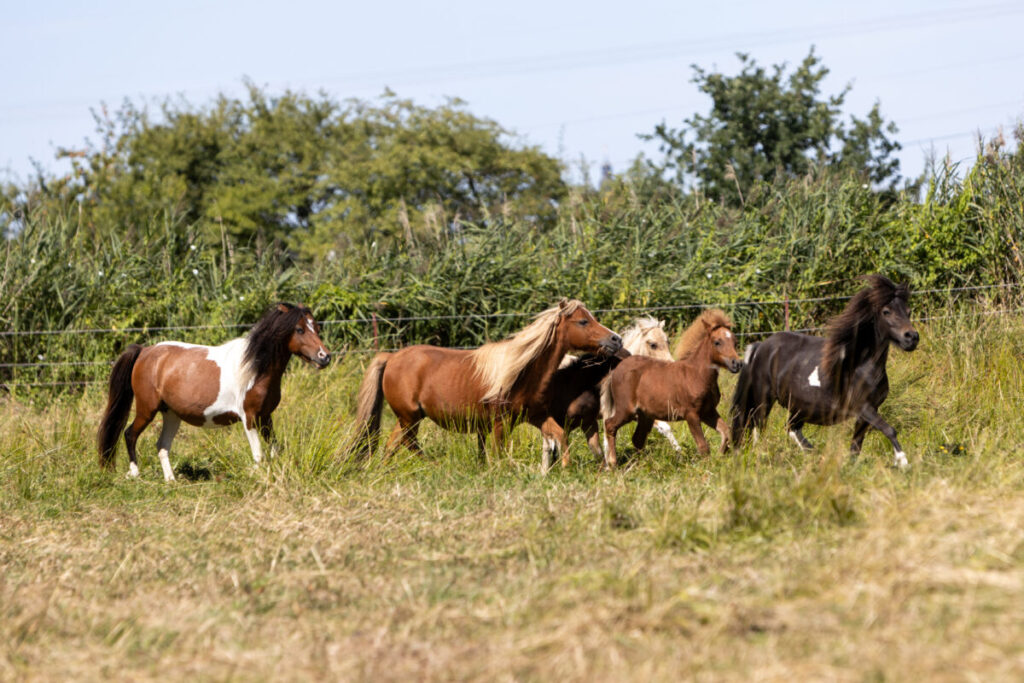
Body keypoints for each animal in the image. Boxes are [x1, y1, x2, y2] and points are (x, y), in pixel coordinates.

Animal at [97, 303, 331, 481]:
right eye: (300, 329)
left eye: (316, 327)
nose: (324, 357)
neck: (254, 369)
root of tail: (145, 351)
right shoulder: (249, 418)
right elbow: (259, 456)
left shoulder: (265, 417)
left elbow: (275, 451)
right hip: (146, 410)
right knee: (129, 434)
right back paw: (135, 473)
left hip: (171, 414)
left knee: (162, 446)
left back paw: (171, 480)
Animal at [354, 299, 623, 460]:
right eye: (583, 321)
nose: (616, 339)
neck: (522, 372)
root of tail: (391, 357)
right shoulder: (500, 423)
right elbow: (499, 453)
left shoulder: (535, 416)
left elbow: (559, 435)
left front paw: (565, 467)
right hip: (409, 418)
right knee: (406, 443)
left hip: (407, 419)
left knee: (392, 445)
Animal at [603, 309, 742, 468]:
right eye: (717, 342)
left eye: (735, 342)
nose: (736, 364)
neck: (696, 374)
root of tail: (616, 369)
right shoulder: (691, 414)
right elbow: (703, 446)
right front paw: (705, 467)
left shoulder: (708, 411)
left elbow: (726, 432)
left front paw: (719, 456)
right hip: (626, 411)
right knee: (610, 425)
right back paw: (612, 463)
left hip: (645, 416)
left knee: (637, 439)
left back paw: (643, 464)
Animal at [729, 275, 919, 468]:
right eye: (886, 311)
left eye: (908, 311)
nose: (911, 338)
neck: (861, 367)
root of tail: (760, 347)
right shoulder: (863, 407)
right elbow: (889, 429)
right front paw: (903, 462)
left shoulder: (869, 410)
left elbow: (856, 447)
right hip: (763, 401)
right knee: (758, 430)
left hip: (800, 406)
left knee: (790, 428)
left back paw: (813, 456)